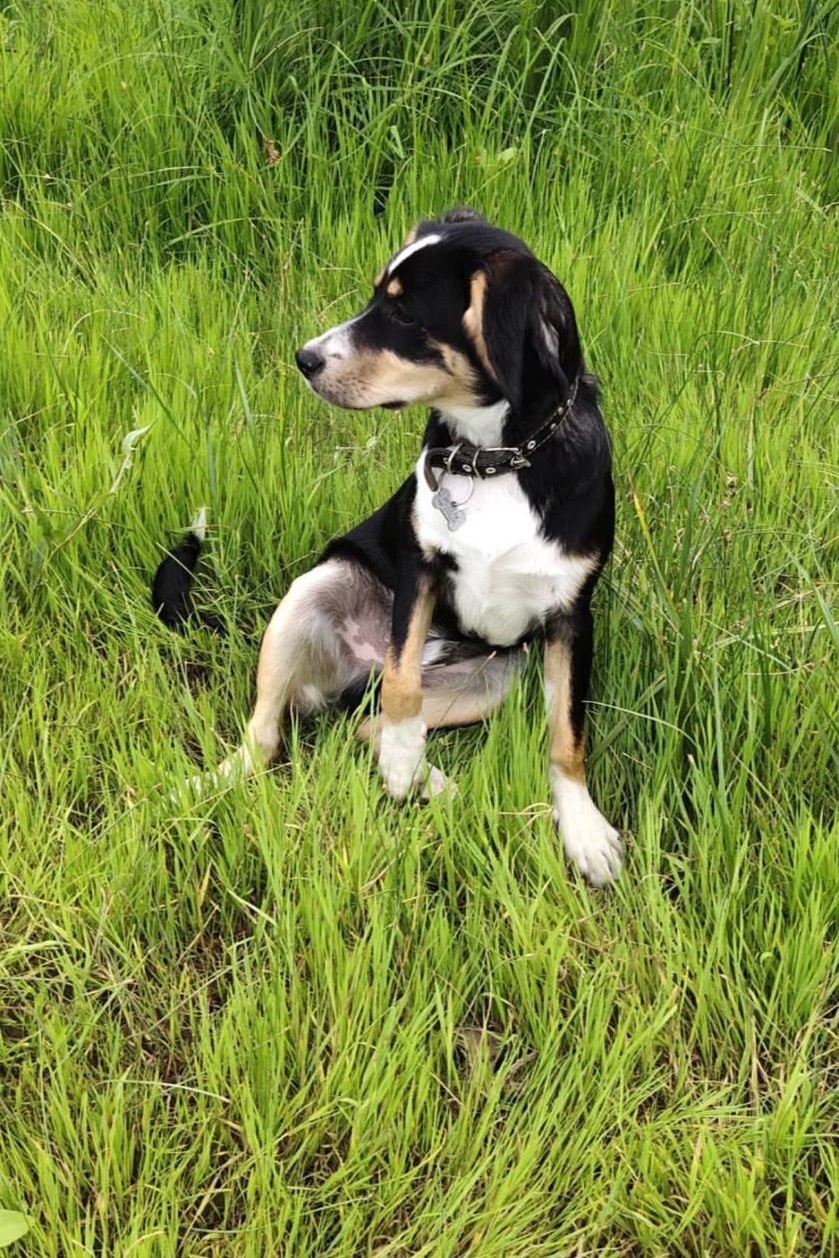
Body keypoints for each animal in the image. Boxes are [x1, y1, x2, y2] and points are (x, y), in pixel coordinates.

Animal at [152, 209, 623, 886]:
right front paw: (403, 760)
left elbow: (567, 736)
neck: (499, 460)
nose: (304, 358)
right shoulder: (417, 570)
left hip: (495, 680)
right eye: (377, 296)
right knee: (267, 738)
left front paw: (583, 829)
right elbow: (403, 680)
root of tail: (356, 675)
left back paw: (434, 783)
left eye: (403, 314)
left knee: (361, 726)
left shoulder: (571, 616)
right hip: (312, 593)